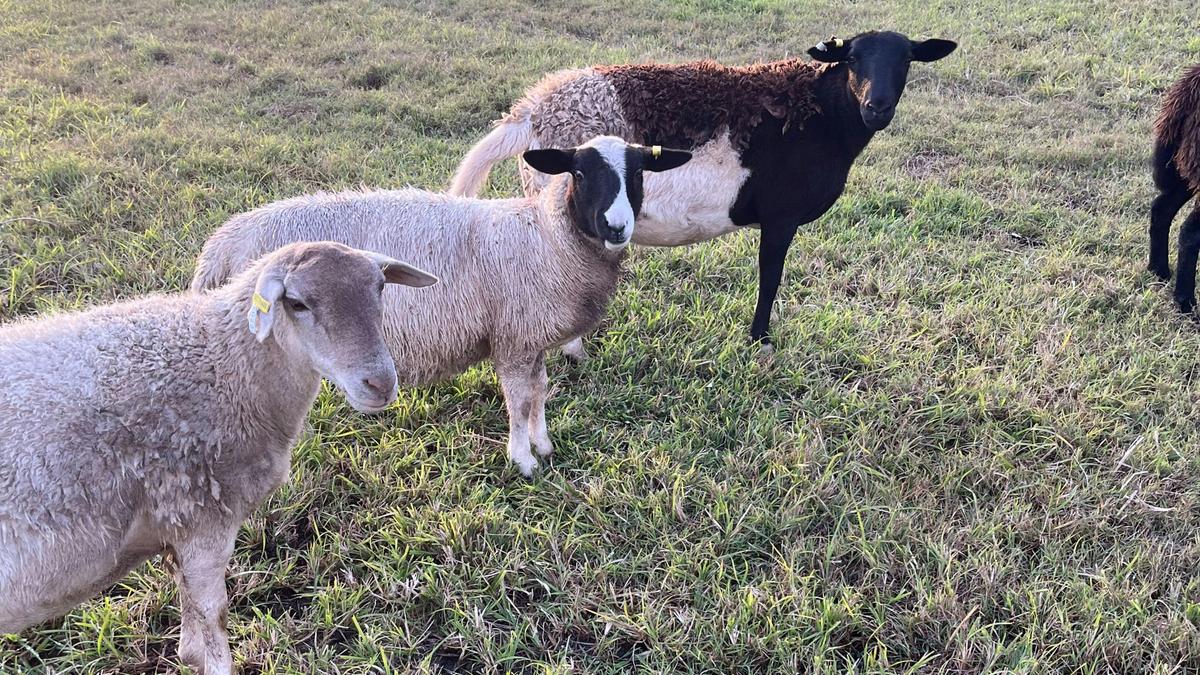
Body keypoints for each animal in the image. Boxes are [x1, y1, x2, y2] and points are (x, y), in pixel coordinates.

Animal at [0, 241, 437, 675]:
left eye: (380, 287)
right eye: (297, 303)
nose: (380, 383)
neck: (221, 360)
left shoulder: (174, 535)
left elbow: (191, 636)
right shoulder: (201, 517)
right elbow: (214, 619)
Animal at [190, 136, 692, 477]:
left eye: (639, 174)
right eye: (581, 174)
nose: (616, 227)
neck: (545, 239)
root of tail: (223, 242)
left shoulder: (530, 337)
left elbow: (540, 392)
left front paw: (544, 445)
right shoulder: (513, 337)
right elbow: (520, 400)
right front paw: (523, 461)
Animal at [449, 30, 957, 356]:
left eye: (906, 61)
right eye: (852, 60)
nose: (877, 107)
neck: (820, 115)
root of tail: (529, 112)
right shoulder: (781, 216)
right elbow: (770, 278)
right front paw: (760, 342)